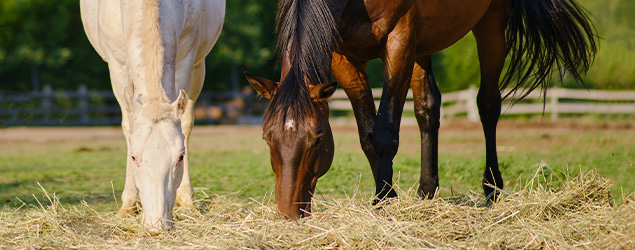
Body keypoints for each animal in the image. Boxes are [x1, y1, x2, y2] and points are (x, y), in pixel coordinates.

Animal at [79, 0, 225, 230]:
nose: (157, 225)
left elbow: (183, 122)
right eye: (134, 157)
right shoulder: (118, 66)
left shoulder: (186, 58)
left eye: (180, 157)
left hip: (199, 65)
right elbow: (129, 126)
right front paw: (129, 204)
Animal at [245, 0, 596, 219]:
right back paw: (427, 191)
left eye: (318, 139)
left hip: (490, 22)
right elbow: (367, 135)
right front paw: (386, 197)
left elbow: (384, 133)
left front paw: (384, 202)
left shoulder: (398, 40)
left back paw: (492, 188)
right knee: (428, 107)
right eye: (266, 139)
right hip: (423, 43)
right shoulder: (344, 58)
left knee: (488, 105)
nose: (289, 213)